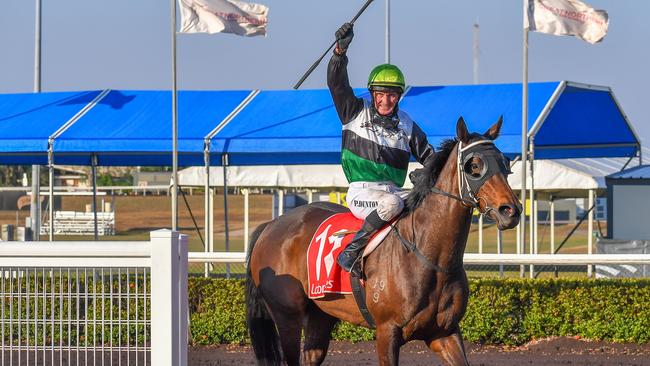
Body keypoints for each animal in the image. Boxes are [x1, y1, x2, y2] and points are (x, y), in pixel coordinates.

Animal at [246, 117, 520, 366]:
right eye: (474, 165)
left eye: (505, 162)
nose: (511, 211)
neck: (430, 258)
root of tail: (271, 224)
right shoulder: (387, 332)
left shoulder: (444, 332)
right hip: (287, 316)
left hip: (321, 314)